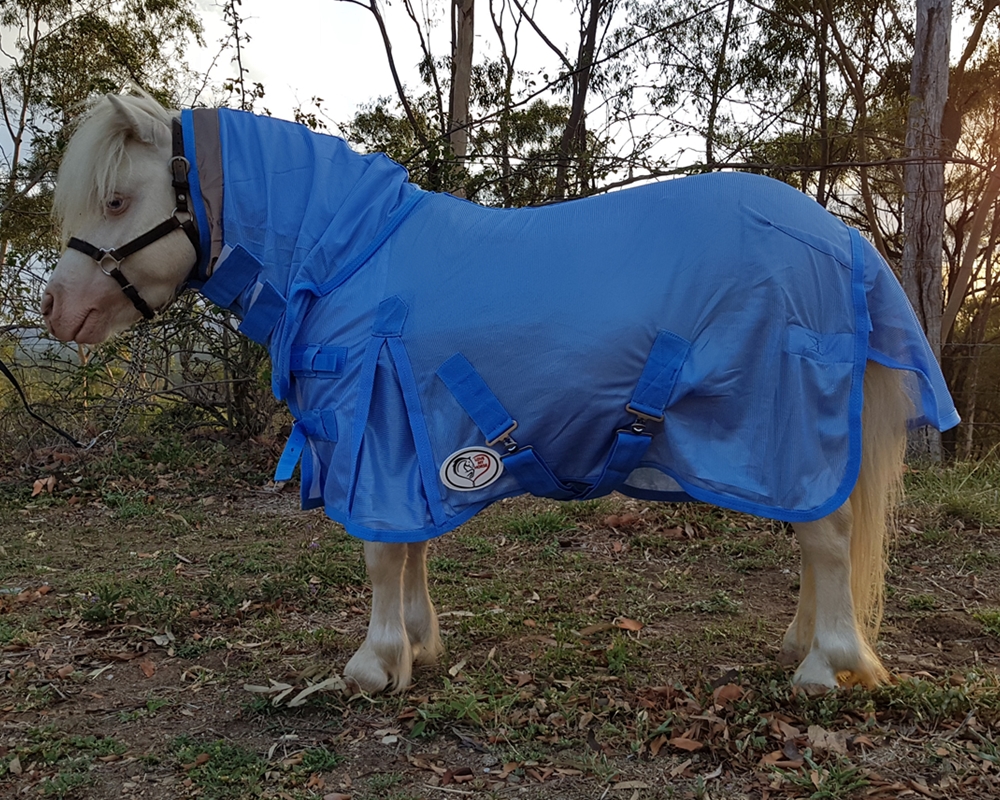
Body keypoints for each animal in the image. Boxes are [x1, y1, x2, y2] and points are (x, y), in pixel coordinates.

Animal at [43, 92, 958, 695]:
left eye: (118, 198)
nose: (56, 311)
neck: (350, 255)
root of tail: (841, 236)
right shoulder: (406, 439)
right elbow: (406, 546)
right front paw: (416, 648)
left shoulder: (379, 431)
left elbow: (379, 554)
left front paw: (373, 665)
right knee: (817, 536)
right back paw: (801, 645)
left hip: (796, 432)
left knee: (828, 538)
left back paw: (824, 667)